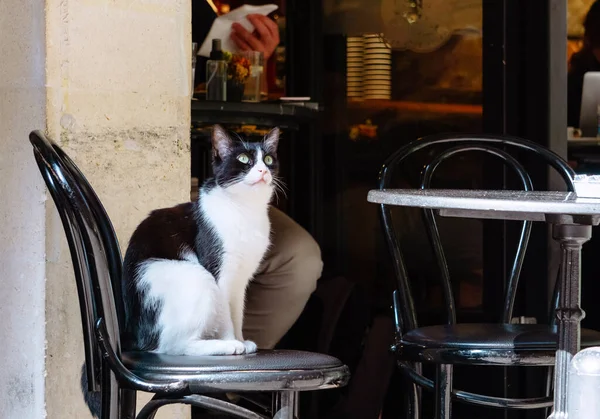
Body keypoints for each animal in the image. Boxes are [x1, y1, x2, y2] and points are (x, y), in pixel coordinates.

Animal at [123, 125, 282, 358]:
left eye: (269, 159)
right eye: (244, 159)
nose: (263, 171)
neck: (245, 209)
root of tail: (134, 338)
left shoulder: (241, 279)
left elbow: (237, 312)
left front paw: (242, 339)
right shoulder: (219, 271)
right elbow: (226, 314)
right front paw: (233, 341)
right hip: (196, 277)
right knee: (175, 345)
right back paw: (223, 346)